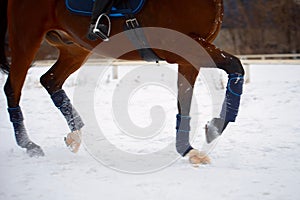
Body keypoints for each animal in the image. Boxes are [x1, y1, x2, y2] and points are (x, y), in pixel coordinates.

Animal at [0, 0, 244, 165]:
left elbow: (184, 103)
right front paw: (214, 127)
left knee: (50, 80)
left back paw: (75, 134)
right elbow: (236, 66)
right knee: (13, 88)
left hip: (75, 48)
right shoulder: (183, 46)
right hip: (26, 40)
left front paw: (189, 149)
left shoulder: (189, 56)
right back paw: (29, 145)